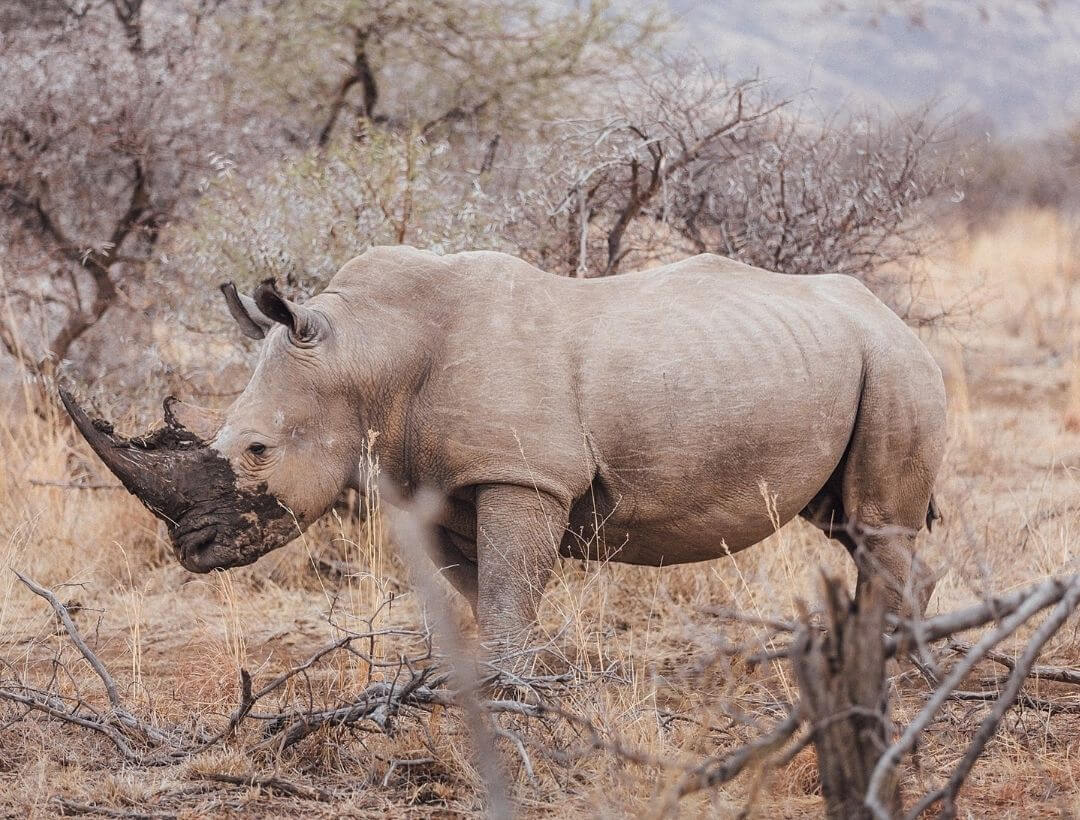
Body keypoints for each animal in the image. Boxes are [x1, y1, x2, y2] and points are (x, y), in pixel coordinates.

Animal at [62, 246, 946, 653]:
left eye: (255, 449)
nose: (192, 549)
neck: (367, 354)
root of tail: (892, 315)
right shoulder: (436, 487)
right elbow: (483, 602)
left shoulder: (524, 477)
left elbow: (512, 601)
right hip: (851, 358)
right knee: (852, 527)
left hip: (895, 361)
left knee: (877, 525)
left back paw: (892, 667)